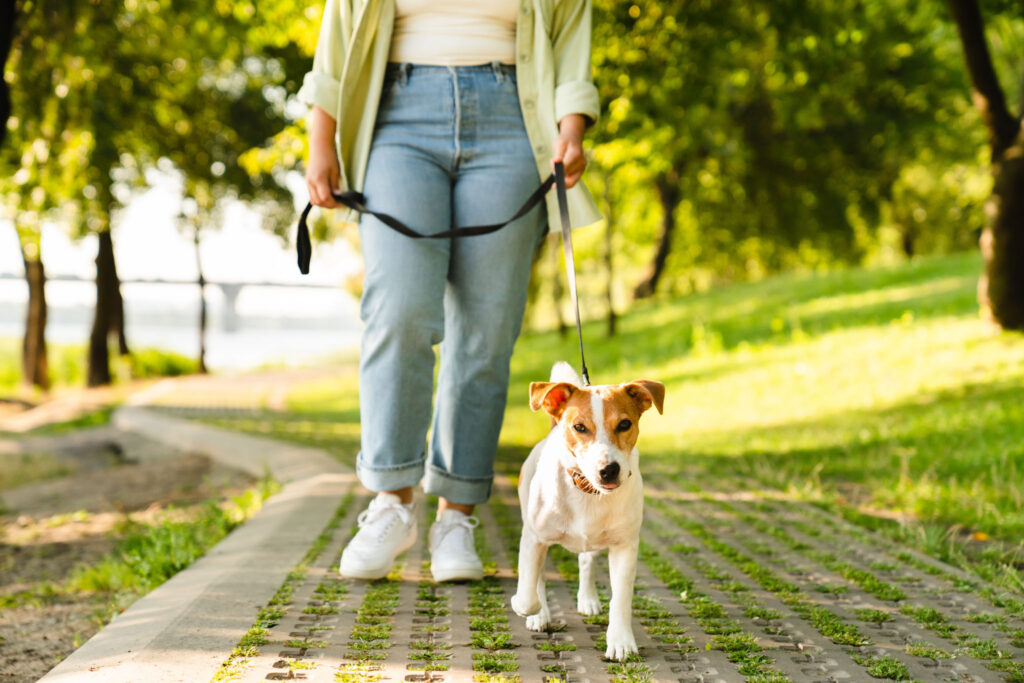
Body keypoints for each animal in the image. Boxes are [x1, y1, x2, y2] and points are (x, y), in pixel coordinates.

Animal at [509, 362, 667, 663]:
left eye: (625, 424)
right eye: (579, 427)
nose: (609, 470)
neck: (587, 490)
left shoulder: (624, 547)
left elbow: (621, 599)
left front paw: (620, 642)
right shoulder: (534, 539)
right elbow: (529, 590)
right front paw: (532, 610)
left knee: (586, 560)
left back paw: (588, 599)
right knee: (541, 577)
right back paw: (541, 614)